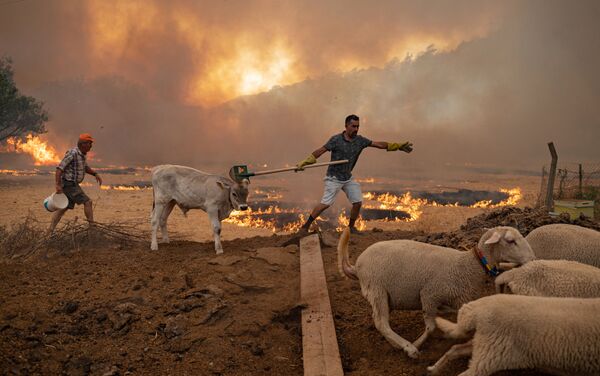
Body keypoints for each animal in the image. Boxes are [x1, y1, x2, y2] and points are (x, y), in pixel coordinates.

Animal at [336, 226, 536, 358]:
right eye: (510, 241)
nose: (533, 259)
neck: (469, 266)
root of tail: (357, 266)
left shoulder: (457, 298)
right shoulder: (429, 295)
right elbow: (431, 327)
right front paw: (416, 344)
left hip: (382, 294)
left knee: (380, 319)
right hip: (376, 288)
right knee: (381, 322)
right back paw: (407, 347)